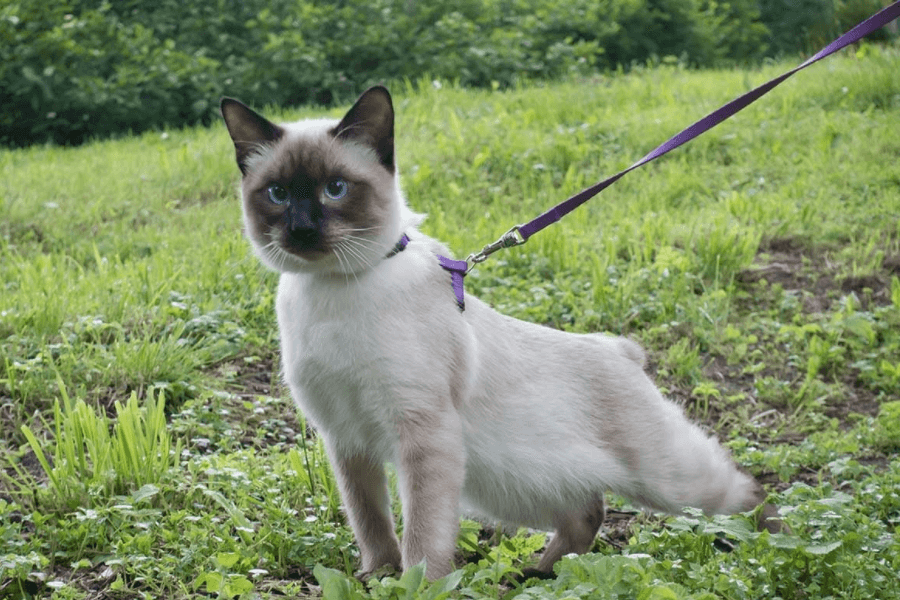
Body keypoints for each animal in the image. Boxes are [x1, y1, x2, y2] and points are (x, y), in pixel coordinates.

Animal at [221, 86, 784, 580]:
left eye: (334, 188)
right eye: (277, 194)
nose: (301, 230)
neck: (332, 290)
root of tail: (617, 348)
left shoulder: (421, 432)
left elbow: (421, 537)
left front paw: (414, 585)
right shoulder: (346, 440)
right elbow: (372, 524)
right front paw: (376, 577)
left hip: (665, 481)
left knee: (747, 490)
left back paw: (774, 550)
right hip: (513, 482)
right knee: (589, 513)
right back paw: (534, 573)